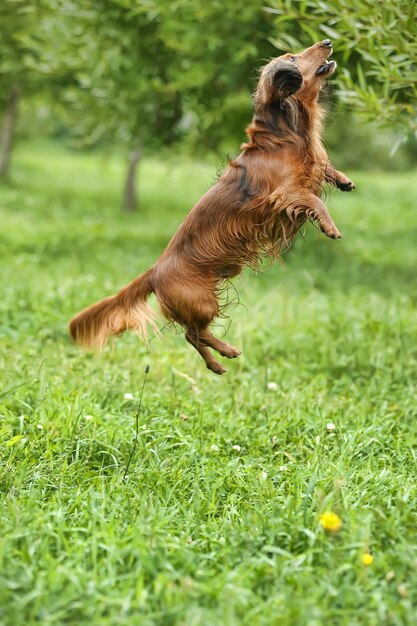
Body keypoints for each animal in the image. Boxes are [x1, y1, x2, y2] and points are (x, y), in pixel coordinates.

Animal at [69, 41, 354, 372]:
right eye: (293, 57)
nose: (328, 42)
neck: (283, 136)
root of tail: (153, 273)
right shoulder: (284, 194)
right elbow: (314, 199)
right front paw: (330, 226)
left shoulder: (308, 169)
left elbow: (323, 166)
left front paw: (343, 179)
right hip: (203, 302)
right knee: (194, 333)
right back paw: (226, 352)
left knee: (193, 336)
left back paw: (216, 363)